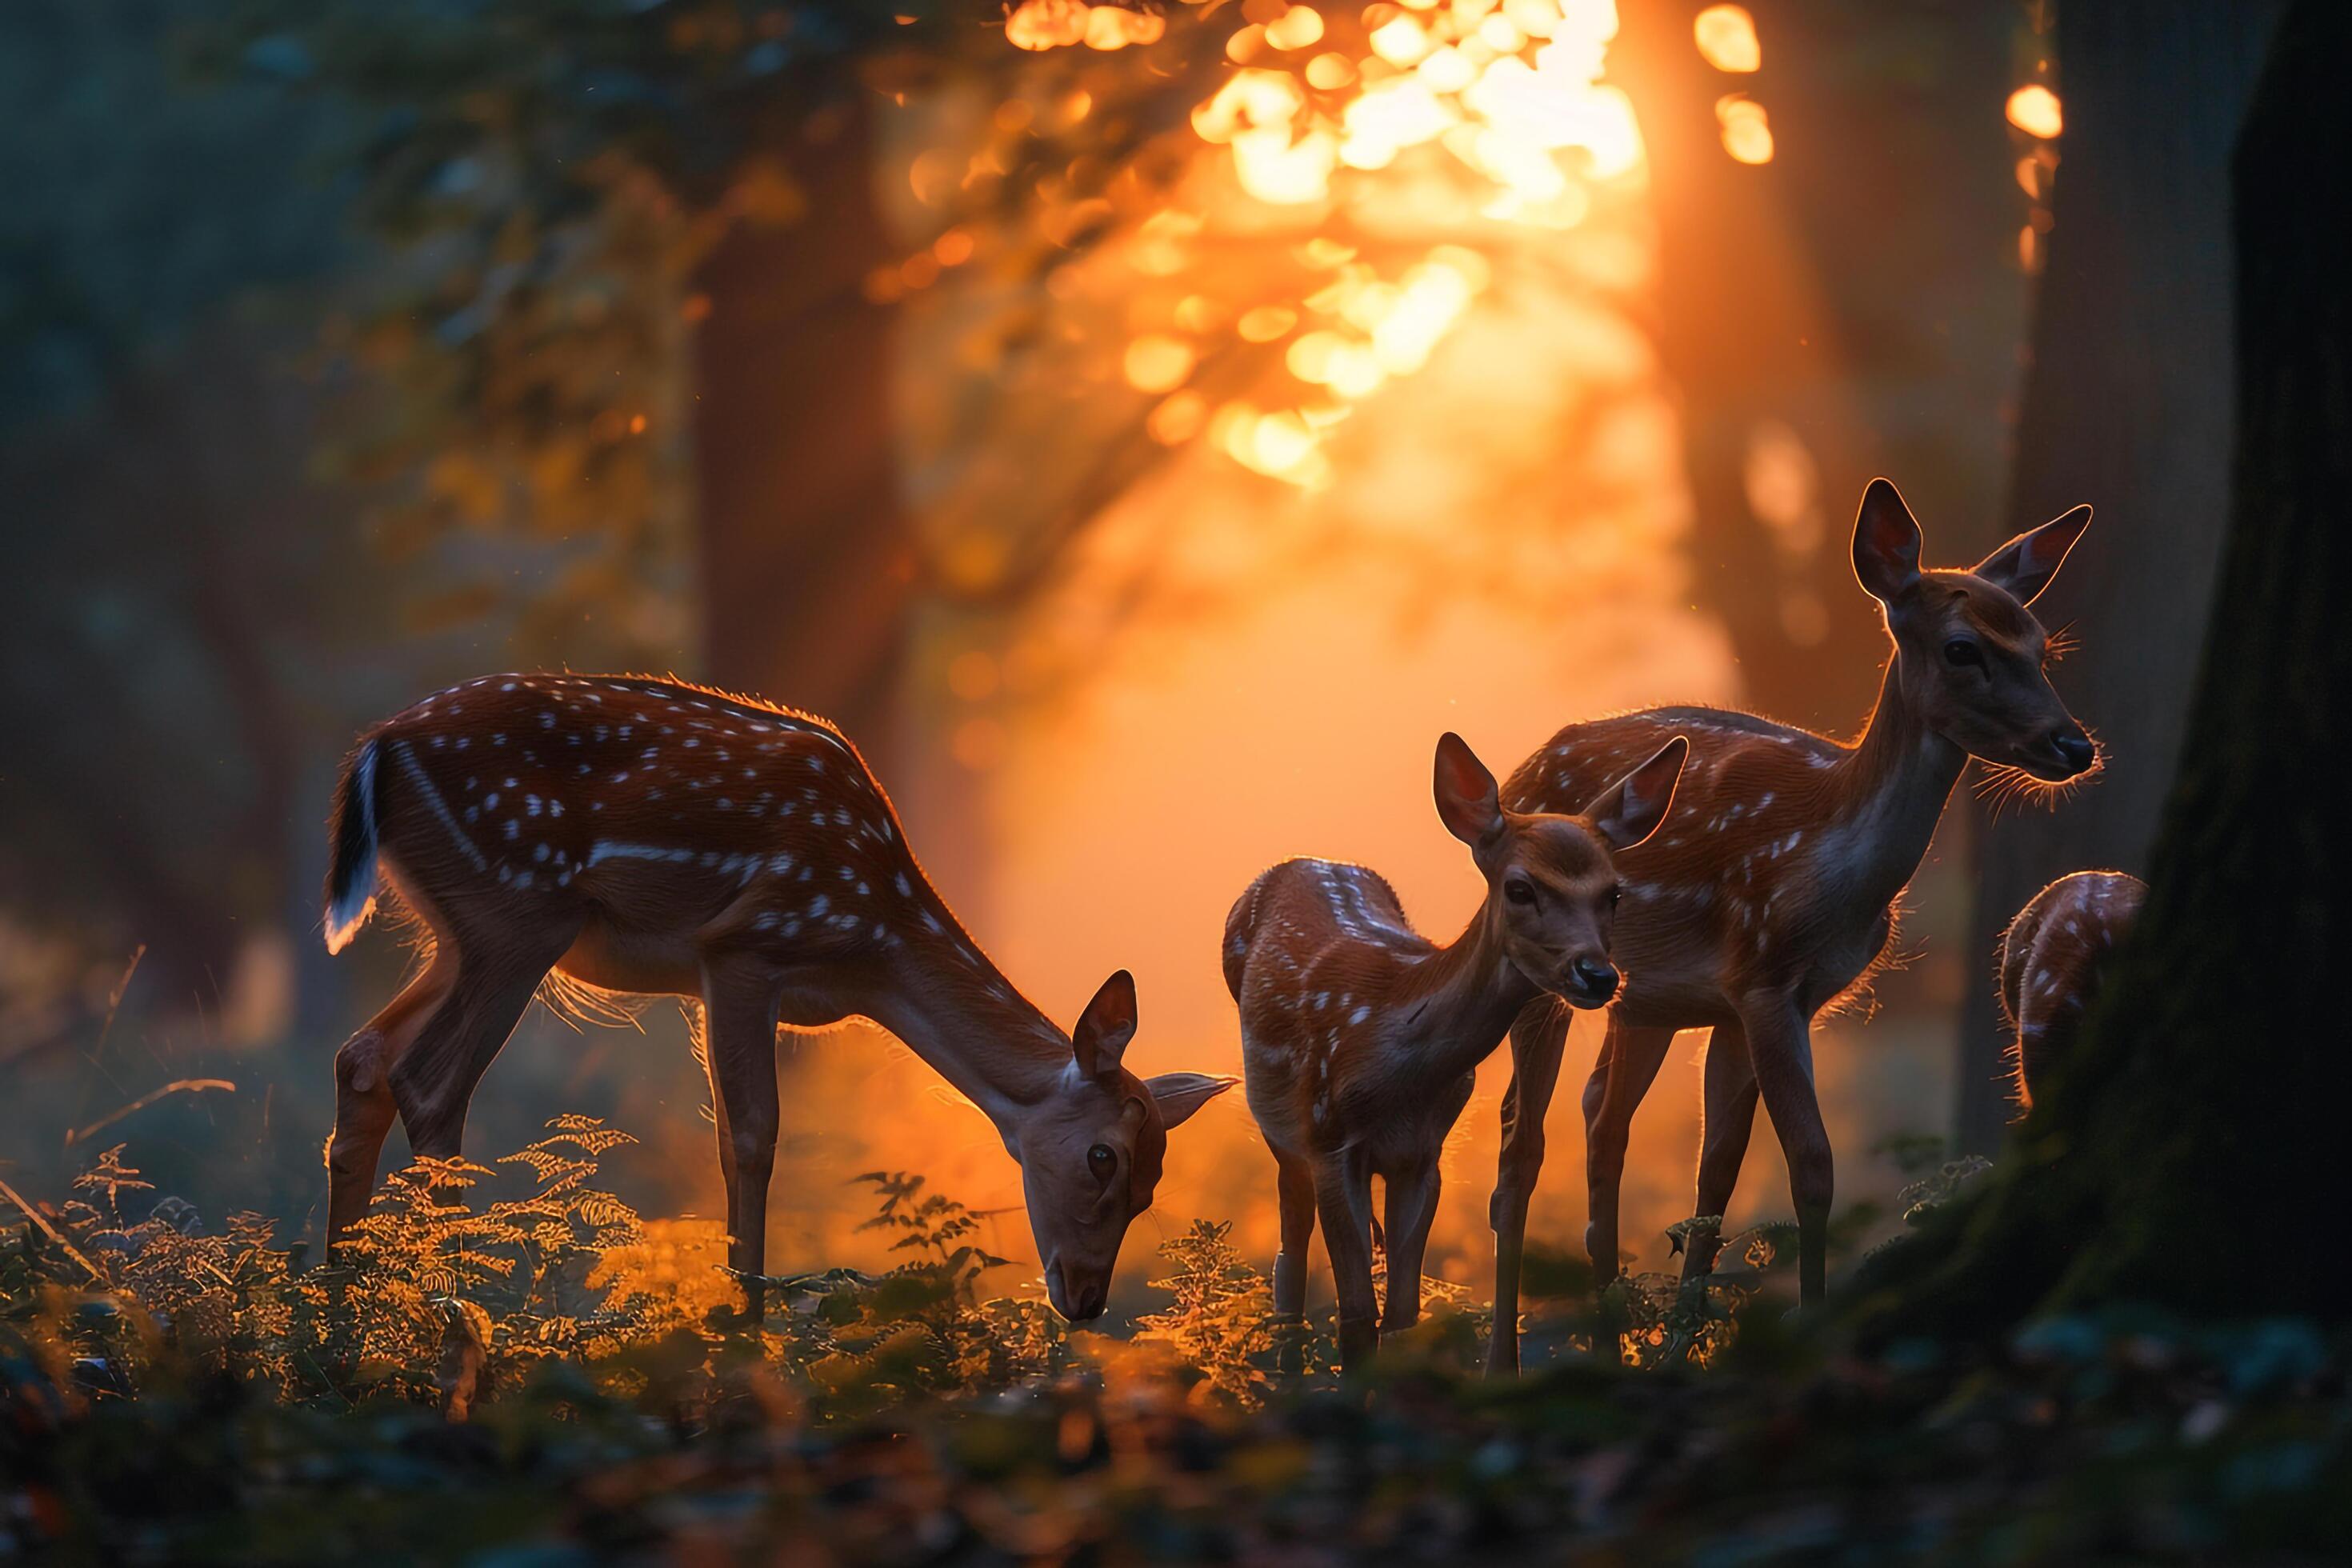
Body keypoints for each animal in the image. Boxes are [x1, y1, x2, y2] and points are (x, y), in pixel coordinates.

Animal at [324, 677, 1242, 1326]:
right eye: (1103, 1157)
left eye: (1155, 1184)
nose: (1085, 1302)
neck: (872, 949)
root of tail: (376, 749)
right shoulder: (744, 946)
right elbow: (752, 1136)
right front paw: (745, 1328)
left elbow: (741, 1134)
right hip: (519, 908)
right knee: (432, 1082)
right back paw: (455, 1319)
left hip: (461, 930)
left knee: (362, 1057)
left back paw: (339, 1319)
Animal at [1222, 728, 1684, 1363]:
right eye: (1520, 887)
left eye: (1614, 894)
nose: (1598, 975)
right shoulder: (1329, 1139)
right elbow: (1357, 1316)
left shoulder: (1425, 1154)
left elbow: (1402, 1312)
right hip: (1282, 1131)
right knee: (1288, 1266)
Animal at [1477, 479, 2107, 1373]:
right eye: (1962, 649)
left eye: (2041, 646)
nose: (2073, 745)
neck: (1828, 860)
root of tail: (1525, 767)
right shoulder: (1765, 982)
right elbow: (1811, 1164)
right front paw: (1805, 1325)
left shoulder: (1753, 1000)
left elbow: (1718, 1174)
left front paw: (1683, 1345)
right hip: (1542, 975)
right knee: (1518, 1144)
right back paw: (1506, 1360)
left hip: (1642, 1000)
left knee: (1603, 1117)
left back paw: (1609, 1335)